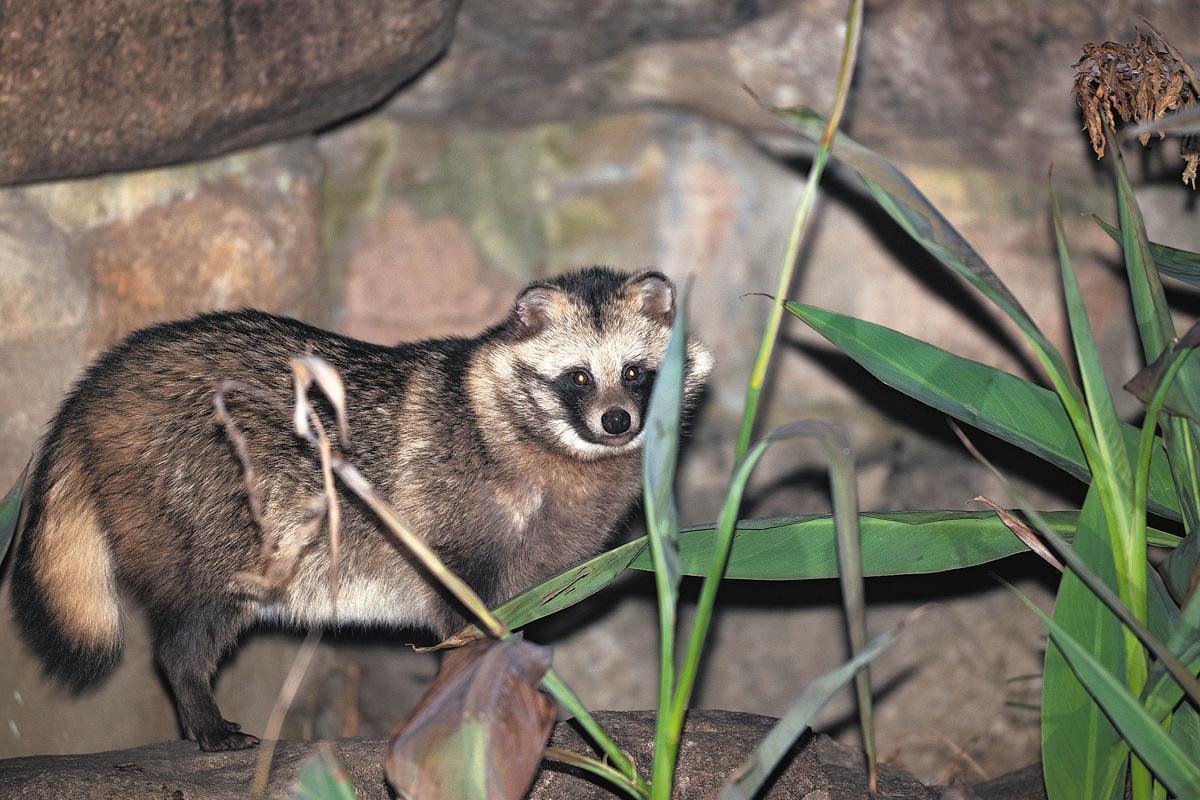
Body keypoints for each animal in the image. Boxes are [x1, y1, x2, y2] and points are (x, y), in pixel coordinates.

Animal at [9, 267, 712, 751]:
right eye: (579, 377)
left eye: (637, 373)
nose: (617, 422)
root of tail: (98, 382)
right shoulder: (453, 534)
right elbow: (465, 629)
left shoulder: (538, 572)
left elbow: (515, 629)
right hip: (203, 508)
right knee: (189, 630)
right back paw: (199, 705)